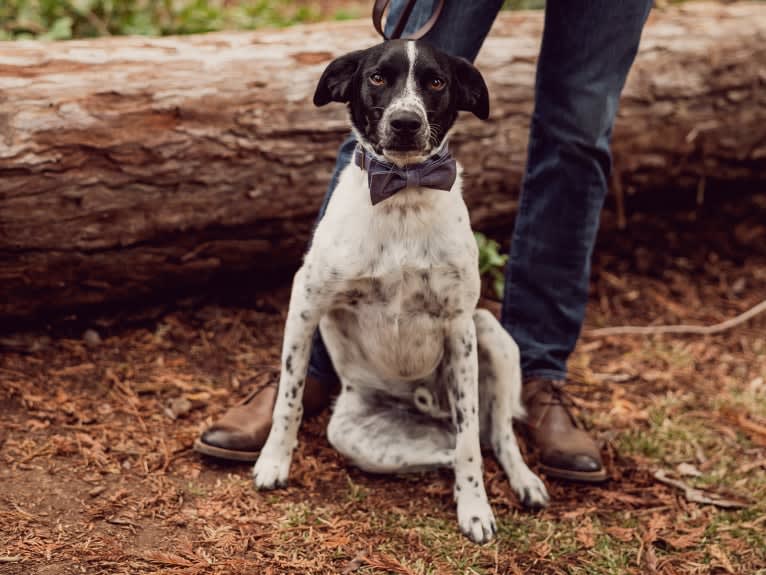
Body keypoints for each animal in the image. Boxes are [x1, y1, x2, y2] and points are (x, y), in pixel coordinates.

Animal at [255, 39, 548, 544]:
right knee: (457, 447)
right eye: (376, 77)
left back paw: (523, 481)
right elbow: (288, 398)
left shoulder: (459, 327)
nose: (406, 122)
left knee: (490, 437)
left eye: (436, 82)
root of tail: (426, 408)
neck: (402, 195)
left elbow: (471, 441)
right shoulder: (306, 302)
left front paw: (475, 509)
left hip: (491, 334)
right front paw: (274, 460)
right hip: (355, 436)